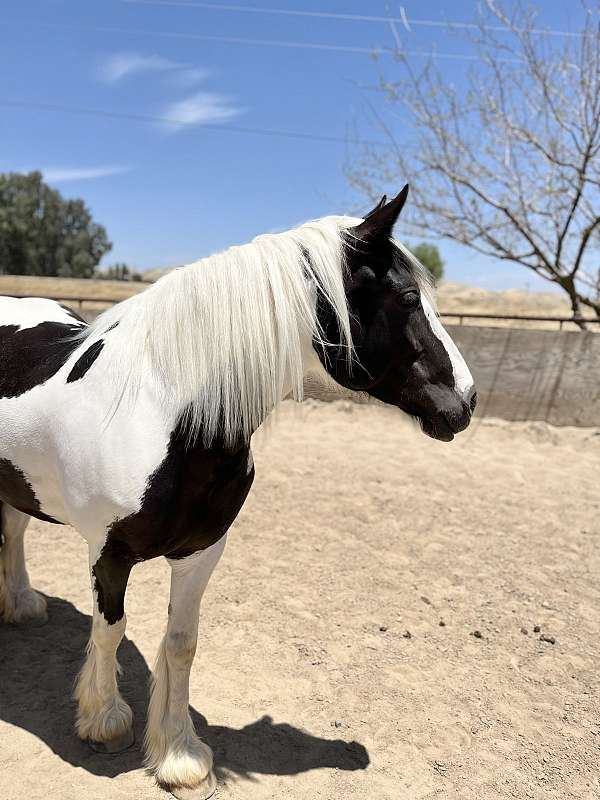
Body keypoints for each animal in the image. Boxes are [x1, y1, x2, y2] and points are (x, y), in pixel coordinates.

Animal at [2, 189, 476, 800]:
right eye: (409, 297)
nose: (466, 400)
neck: (162, 414)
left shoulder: (202, 552)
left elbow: (181, 643)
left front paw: (180, 755)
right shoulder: (108, 554)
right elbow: (110, 632)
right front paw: (105, 721)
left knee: (14, 531)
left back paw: (21, 603)